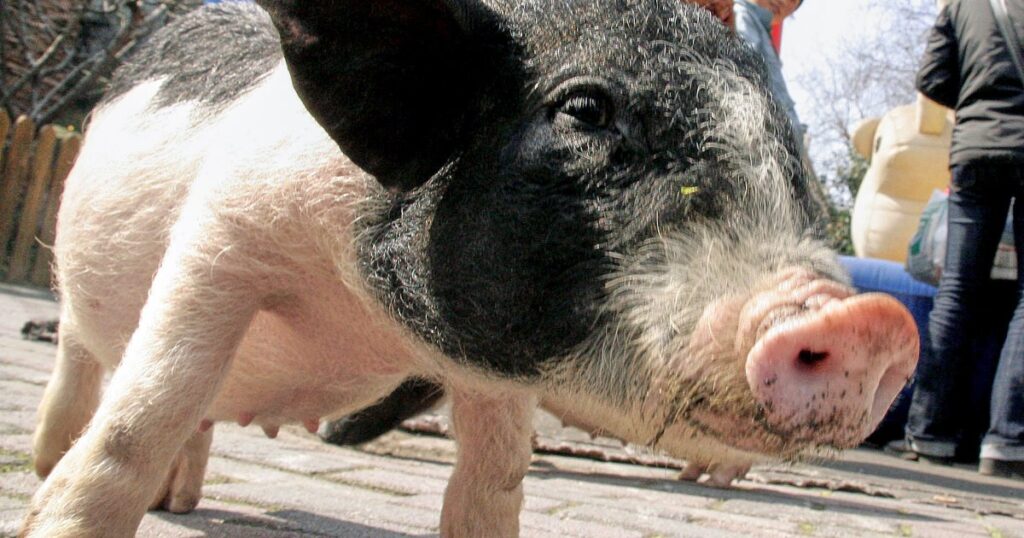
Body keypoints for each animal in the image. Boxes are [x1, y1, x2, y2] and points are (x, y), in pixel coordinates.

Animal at [21, 0, 919, 536]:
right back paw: (46, 467)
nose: (870, 321)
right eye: (583, 109)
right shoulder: (223, 231)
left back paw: (181, 502)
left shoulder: (495, 366)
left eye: (788, 147)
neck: (364, 317)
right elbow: (149, 406)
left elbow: (497, 475)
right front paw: (52, 523)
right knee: (88, 362)